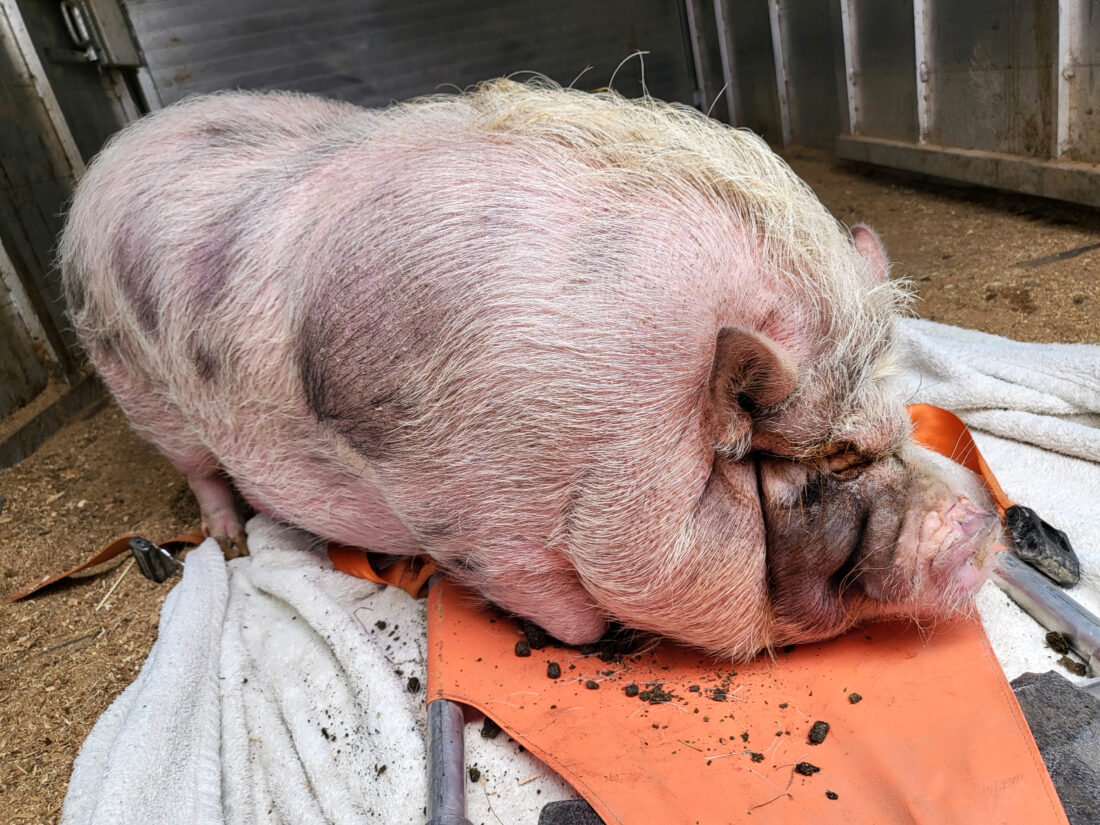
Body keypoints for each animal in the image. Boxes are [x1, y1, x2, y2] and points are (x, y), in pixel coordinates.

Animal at [59, 79, 1001, 659]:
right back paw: (225, 535)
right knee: (197, 467)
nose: (982, 520)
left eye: (899, 428)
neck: (614, 440)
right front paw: (602, 637)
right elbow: (569, 616)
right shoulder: (469, 522)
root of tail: (112, 154)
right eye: (834, 458)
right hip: (135, 383)